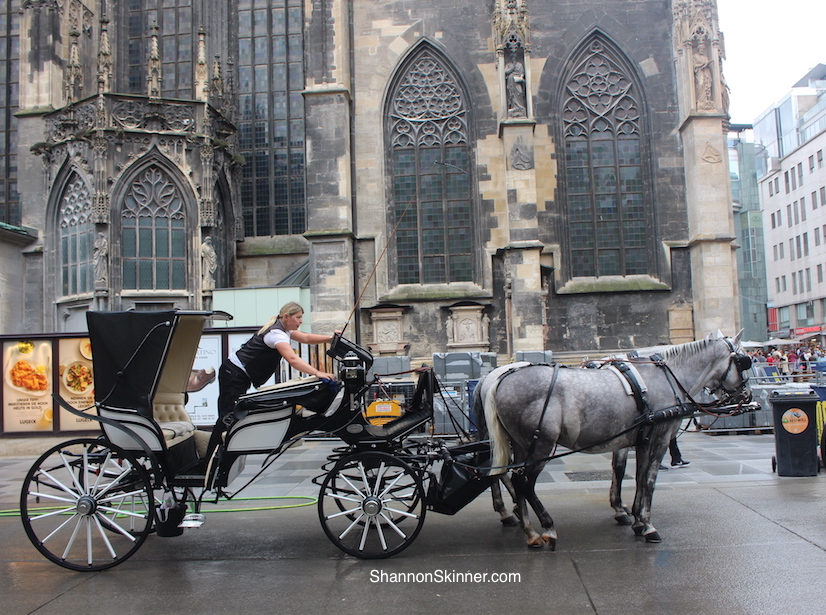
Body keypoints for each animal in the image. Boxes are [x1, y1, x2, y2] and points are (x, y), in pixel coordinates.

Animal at [470, 334, 748, 552]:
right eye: (744, 362)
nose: (745, 394)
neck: (663, 376)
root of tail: (498, 379)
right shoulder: (658, 438)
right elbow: (648, 480)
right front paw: (646, 524)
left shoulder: (637, 439)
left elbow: (634, 476)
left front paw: (633, 516)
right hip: (540, 444)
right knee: (522, 482)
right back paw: (545, 527)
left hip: (519, 444)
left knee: (507, 475)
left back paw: (528, 530)